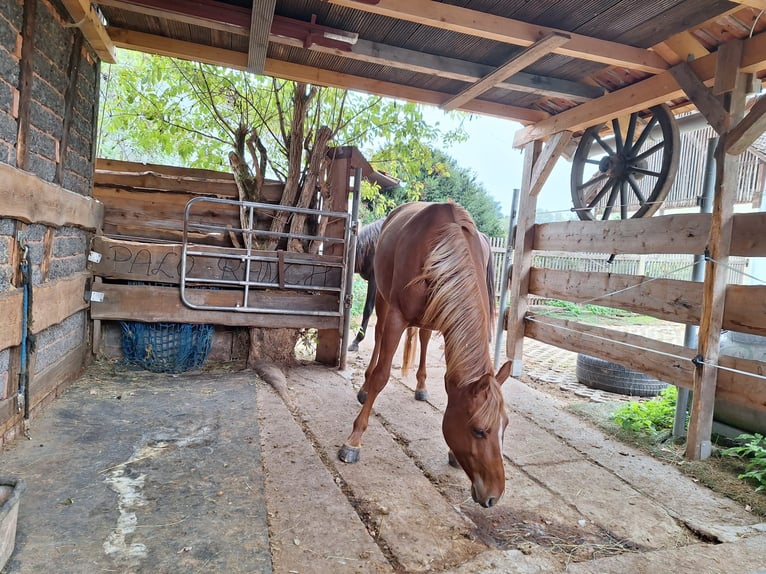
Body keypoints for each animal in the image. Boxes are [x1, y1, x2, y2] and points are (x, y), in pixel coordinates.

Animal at [338, 202, 512, 508]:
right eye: (478, 430)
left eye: (505, 426)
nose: (494, 496)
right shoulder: (396, 314)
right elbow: (382, 375)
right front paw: (354, 439)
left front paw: (453, 453)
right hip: (382, 294)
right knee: (379, 335)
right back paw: (364, 386)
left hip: (431, 317)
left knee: (423, 338)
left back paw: (420, 386)